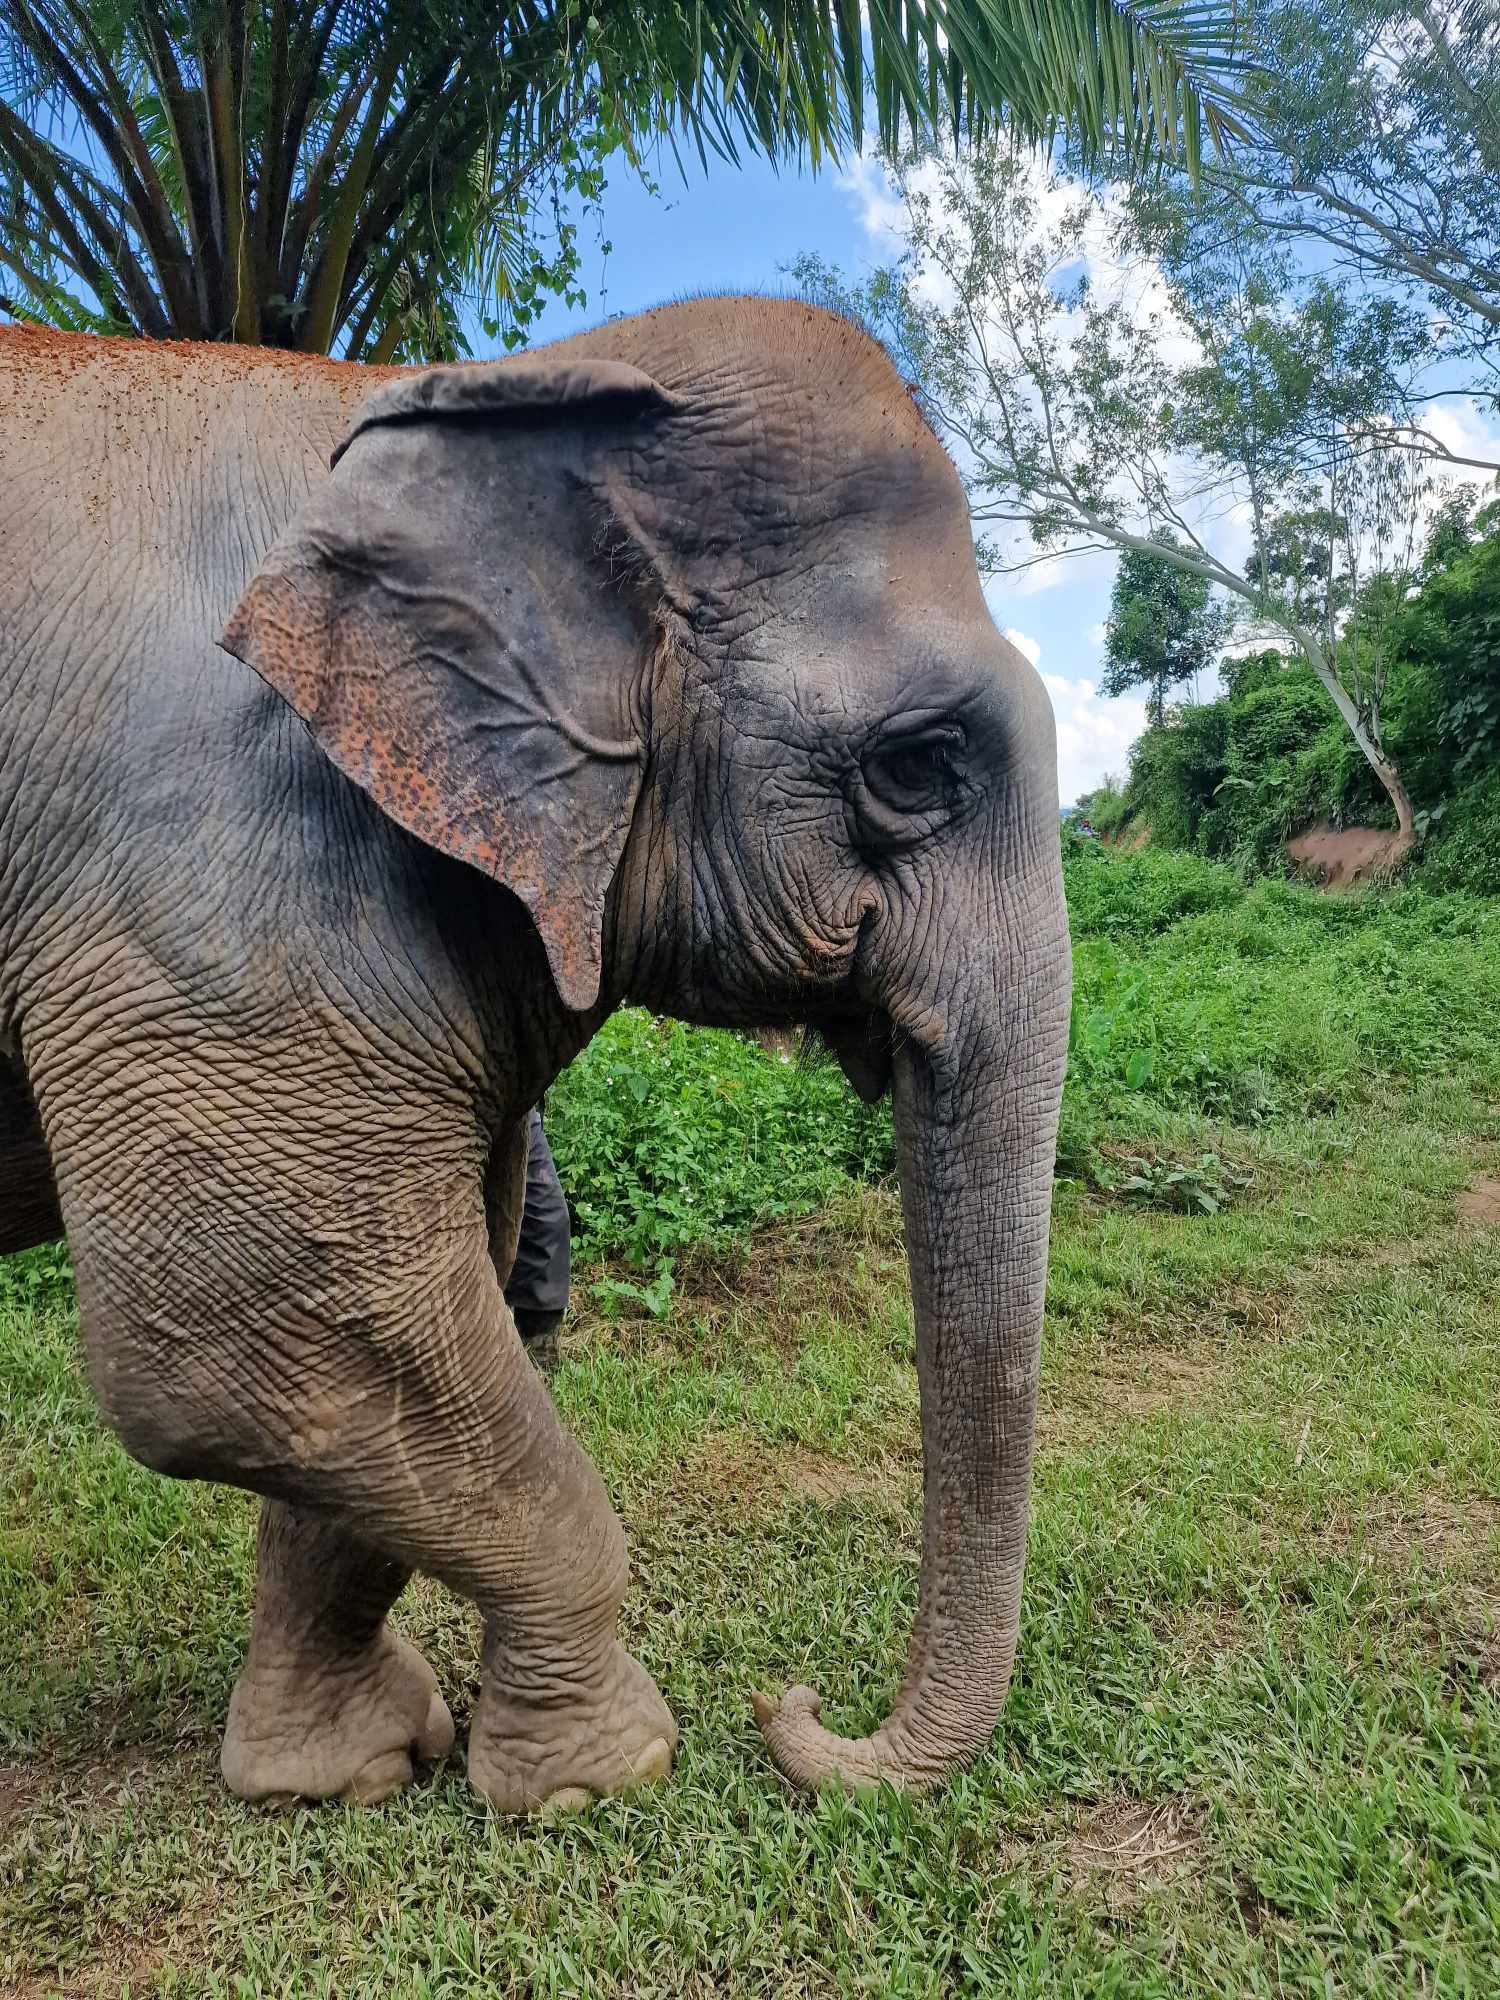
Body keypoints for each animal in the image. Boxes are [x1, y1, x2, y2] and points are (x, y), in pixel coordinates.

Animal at [0, 298, 1070, 1810]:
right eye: (916, 767)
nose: (793, 1705)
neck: (502, 390)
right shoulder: (209, 866)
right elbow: (222, 1322)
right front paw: (598, 1778)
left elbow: (377, 1317)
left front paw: (348, 1771)